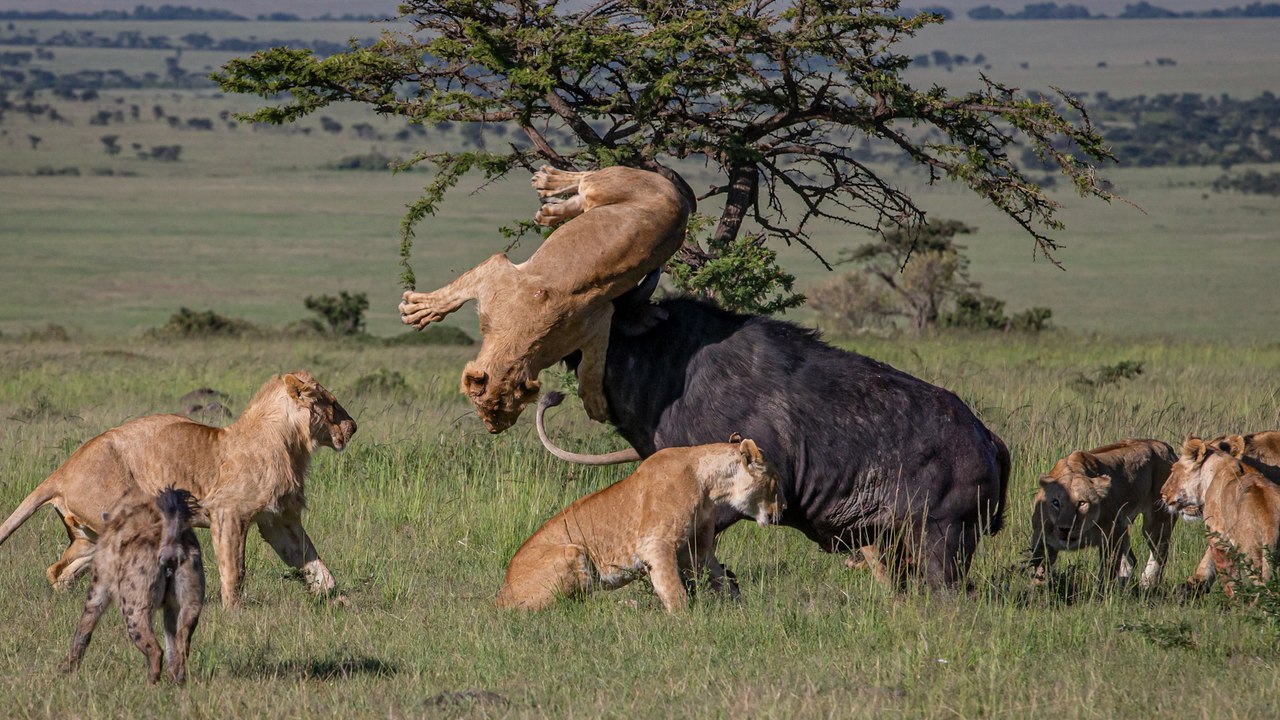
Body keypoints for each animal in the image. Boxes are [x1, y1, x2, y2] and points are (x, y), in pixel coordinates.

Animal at [0, 371, 356, 608]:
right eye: (332, 403)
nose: (353, 427)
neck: (290, 443)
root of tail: (61, 471)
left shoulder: (279, 521)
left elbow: (313, 562)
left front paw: (336, 600)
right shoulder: (229, 513)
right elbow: (234, 568)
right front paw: (233, 612)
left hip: (90, 536)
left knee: (58, 571)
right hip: (132, 521)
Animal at [60, 487, 204, 684]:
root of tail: (170, 541)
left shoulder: (99, 584)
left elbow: (84, 627)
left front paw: (66, 668)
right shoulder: (172, 607)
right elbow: (171, 640)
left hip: (133, 606)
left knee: (154, 648)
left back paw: (150, 684)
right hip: (192, 599)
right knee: (182, 643)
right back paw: (177, 680)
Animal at [399, 165, 691, 433]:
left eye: (511, 409)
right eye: (481, 405)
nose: (495, 430)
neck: (520, 341)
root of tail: (680, 199)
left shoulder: (596, 318)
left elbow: (591, 367)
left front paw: (596, 405)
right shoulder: (496, 271)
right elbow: (452, 294)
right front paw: (417, 311)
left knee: (585, 187)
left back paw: (549, 197)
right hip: (606, 187)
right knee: (585, 182)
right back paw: (548, 190)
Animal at [496, 436, 783, 612]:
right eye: (775, 481)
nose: (782, 510)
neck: (710, 484)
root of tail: (501, 597)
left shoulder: (697, 551)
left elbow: (723, 580)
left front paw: (744, 609)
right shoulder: (655, 544)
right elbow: (675, 591)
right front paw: (686, 622)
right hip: (572, 551)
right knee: (576, 607)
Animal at [1028, 438, 1177, 588]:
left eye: (1082, 503)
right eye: (1056, 502)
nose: (1066, 529)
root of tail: (1165, 445)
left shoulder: (1112, 533)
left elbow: (1108, 570)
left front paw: (1100, 591)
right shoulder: (1040, 539)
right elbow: (1039, 569)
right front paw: (1041, 589)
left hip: (1158, 521)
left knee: (1159, 554)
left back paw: (1147, 585)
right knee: (1131, 561)